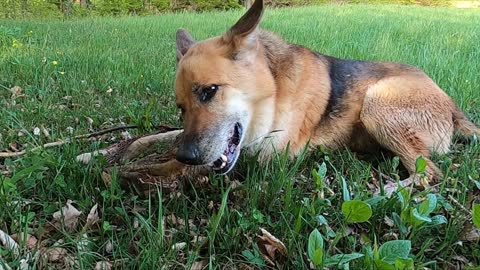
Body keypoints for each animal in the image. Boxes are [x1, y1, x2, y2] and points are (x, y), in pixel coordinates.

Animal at [172, 0, 476, 187]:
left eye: (210, 91)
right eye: (180, 107)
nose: (186, 156)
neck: (274, 91)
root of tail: (452, 105)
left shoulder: (265, 157)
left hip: (377, 103)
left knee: (429, 174)